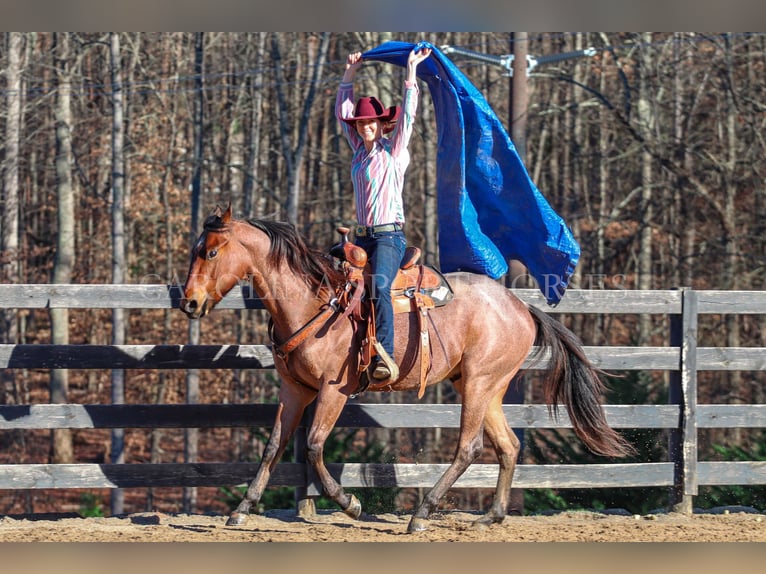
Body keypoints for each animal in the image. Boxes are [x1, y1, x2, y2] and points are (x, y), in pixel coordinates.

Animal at [183, 204, 632, 536]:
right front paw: (242, 508)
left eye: (211, 252)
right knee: (508, 446)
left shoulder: (333, 390)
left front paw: (351, 504)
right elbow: (274, 445)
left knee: (469, 447)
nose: (189, 302)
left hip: (479, 383)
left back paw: (422, 513)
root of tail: (522, 307)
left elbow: (312, 446)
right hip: (487, 387)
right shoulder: (295, 390)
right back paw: (492, 515)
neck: (313, 301)